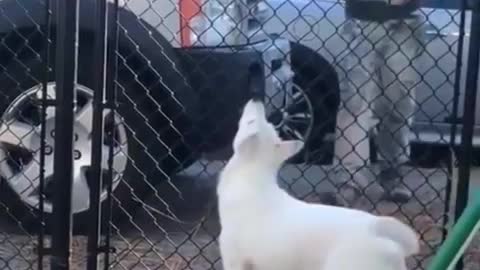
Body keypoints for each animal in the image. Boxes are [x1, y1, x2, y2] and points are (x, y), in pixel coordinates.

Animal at [218, 98, 420, 270]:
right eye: (256, 121)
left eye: (250, 122)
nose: (257, 99)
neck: (252, 174)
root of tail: (380, 233)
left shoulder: (233, 259)